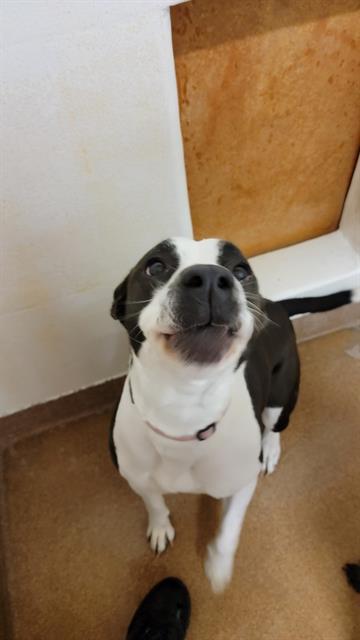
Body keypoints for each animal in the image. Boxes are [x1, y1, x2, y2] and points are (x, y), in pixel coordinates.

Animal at [108, 238, 352, 592]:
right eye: (154, 266)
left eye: (240, 270)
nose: (211, 278)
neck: (183, 412)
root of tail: (275, 305)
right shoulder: (136, 476)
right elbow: (154, 501)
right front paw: (160, 527)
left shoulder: (241, 483)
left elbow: (228, 531)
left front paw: (218, 566)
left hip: (282, 395)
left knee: (274, 425)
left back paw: (270, 450)